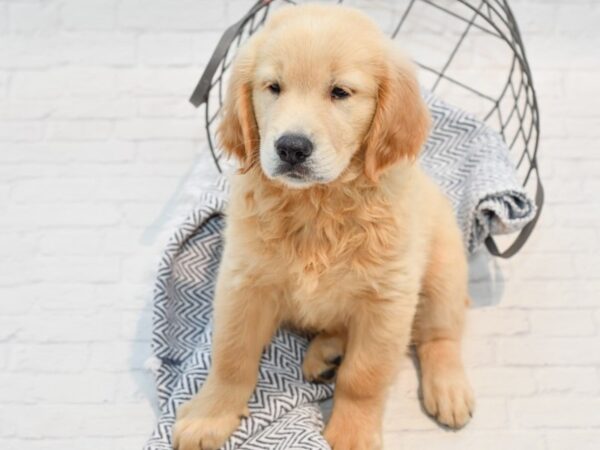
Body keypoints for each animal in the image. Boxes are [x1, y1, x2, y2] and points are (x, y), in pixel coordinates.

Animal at [172, 4, 474, 450]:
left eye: (340, 92)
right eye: (273, 87)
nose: (291, 148)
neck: (318, 206)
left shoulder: (387, 299)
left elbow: (364, 376)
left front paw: (352, 432)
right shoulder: (244, 283)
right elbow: (232, 355)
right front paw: (210, 416)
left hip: (442, 273)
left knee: (441, 335)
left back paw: (448, 387)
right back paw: (327, 353)